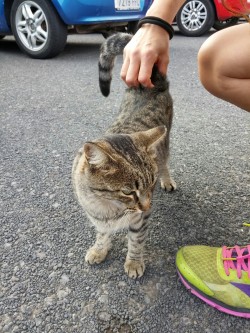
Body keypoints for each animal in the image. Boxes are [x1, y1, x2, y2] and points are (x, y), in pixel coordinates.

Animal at [71, 33, 175, 278]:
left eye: (151, 184)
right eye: (128, 191)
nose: (147, 205)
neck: (107, 207)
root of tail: (149, 83)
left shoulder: (140, 219)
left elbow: (136, 241)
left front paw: (134, 262)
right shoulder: (97, 218)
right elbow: (101, 235)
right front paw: (99, 250)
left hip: (165, 140)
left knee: (165, 162)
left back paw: (168, 179)